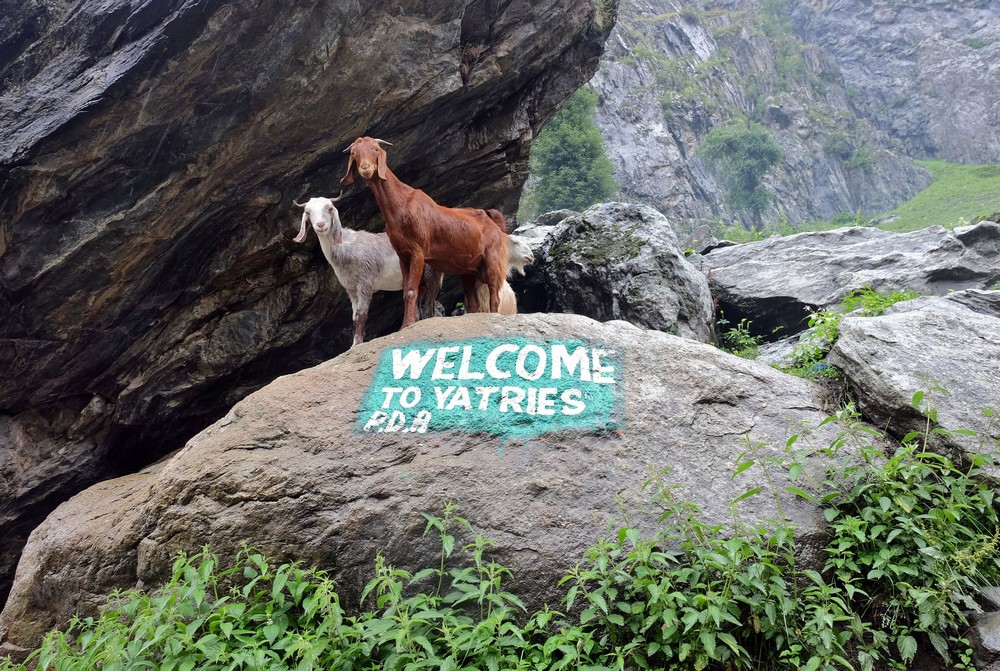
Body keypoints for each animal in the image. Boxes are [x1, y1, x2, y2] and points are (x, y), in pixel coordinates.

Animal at [292, 194, 528, 346]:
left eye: (330, 209)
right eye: (308, 212)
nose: (321, 225)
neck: (346, 246)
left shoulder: (365, 283)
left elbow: (361, 315)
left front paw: (356, 345)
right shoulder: (351, 290)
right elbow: (353, 317)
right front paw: (354, 344)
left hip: (431, 273)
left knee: (430, 302)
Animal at [342, 136, 508, 328]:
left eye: (376, 149)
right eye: (354, 153)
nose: (366, 168)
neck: (400, 205)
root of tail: (496, 226)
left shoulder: (418, 252)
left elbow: (411, 290)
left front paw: (407, 324)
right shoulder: (403, 255)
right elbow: (405, 291)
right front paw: (404, 325)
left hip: (493, 261)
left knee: (495, 296)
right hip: (469, 271)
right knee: (474, 302)